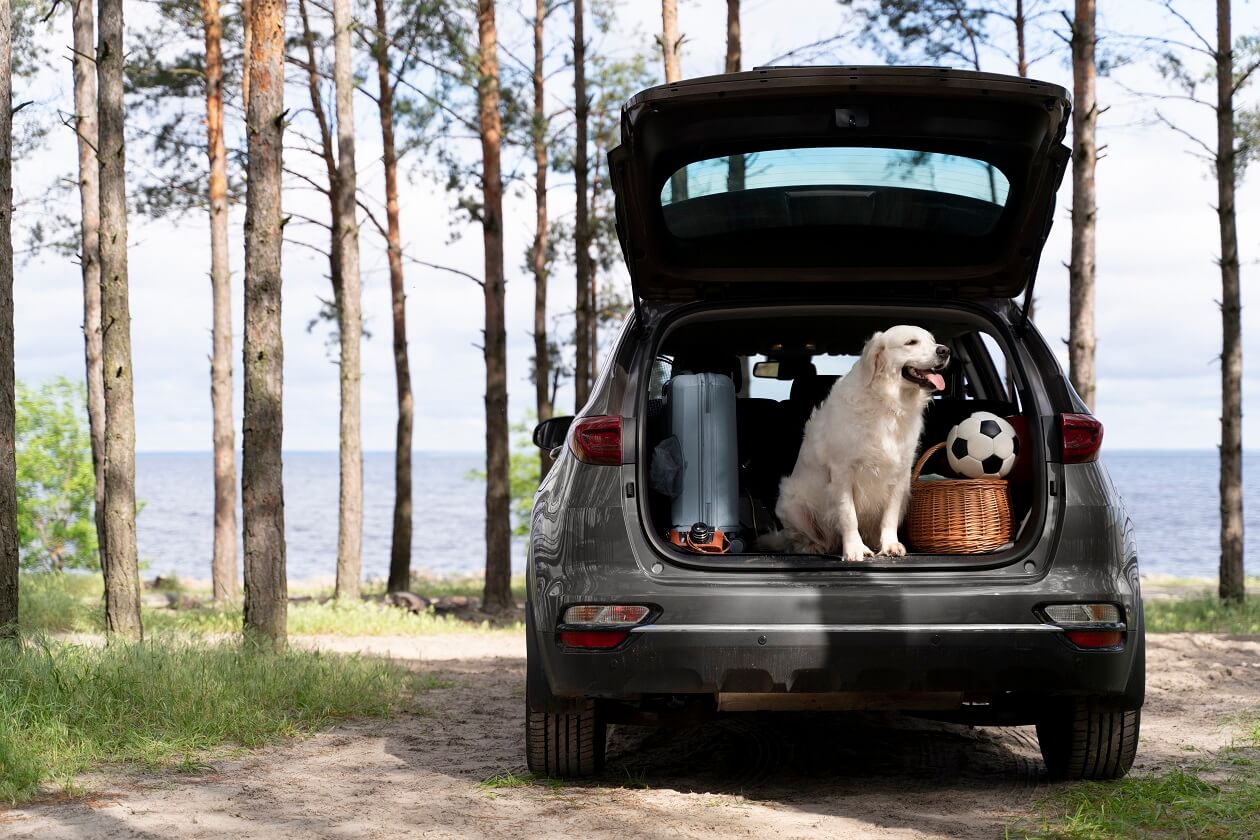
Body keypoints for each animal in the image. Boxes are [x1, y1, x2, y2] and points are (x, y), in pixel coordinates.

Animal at [761, 324, 947, 561]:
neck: (887, 403)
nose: (945, 351)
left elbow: (890, 515)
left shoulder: (901, 473)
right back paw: (813, 546)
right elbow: (848, 516)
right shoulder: (842, 471)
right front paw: (855, 549)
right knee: (798, 541)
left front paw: (890, 545)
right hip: (791, 503)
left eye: (932, 341)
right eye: (911, 342)